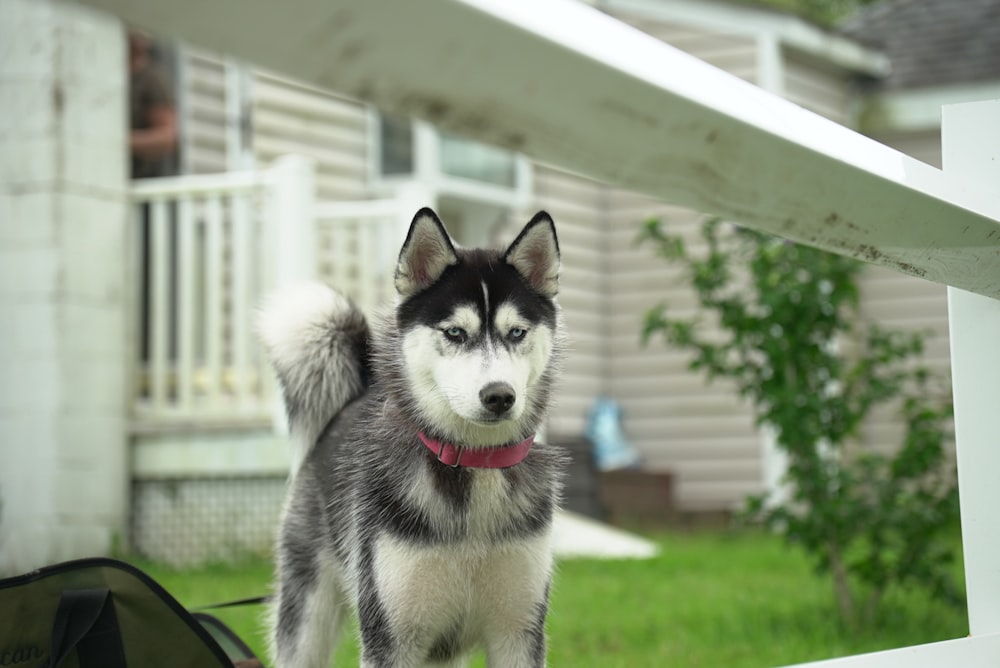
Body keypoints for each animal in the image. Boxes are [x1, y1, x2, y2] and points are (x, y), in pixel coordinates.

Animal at [258, 209, 568, 668]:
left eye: (516, 333)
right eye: (455, 333)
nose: (499, 396)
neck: (473, 467)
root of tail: (354, 396)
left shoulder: (518, 632)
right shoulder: (390, 637)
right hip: (307, 617)